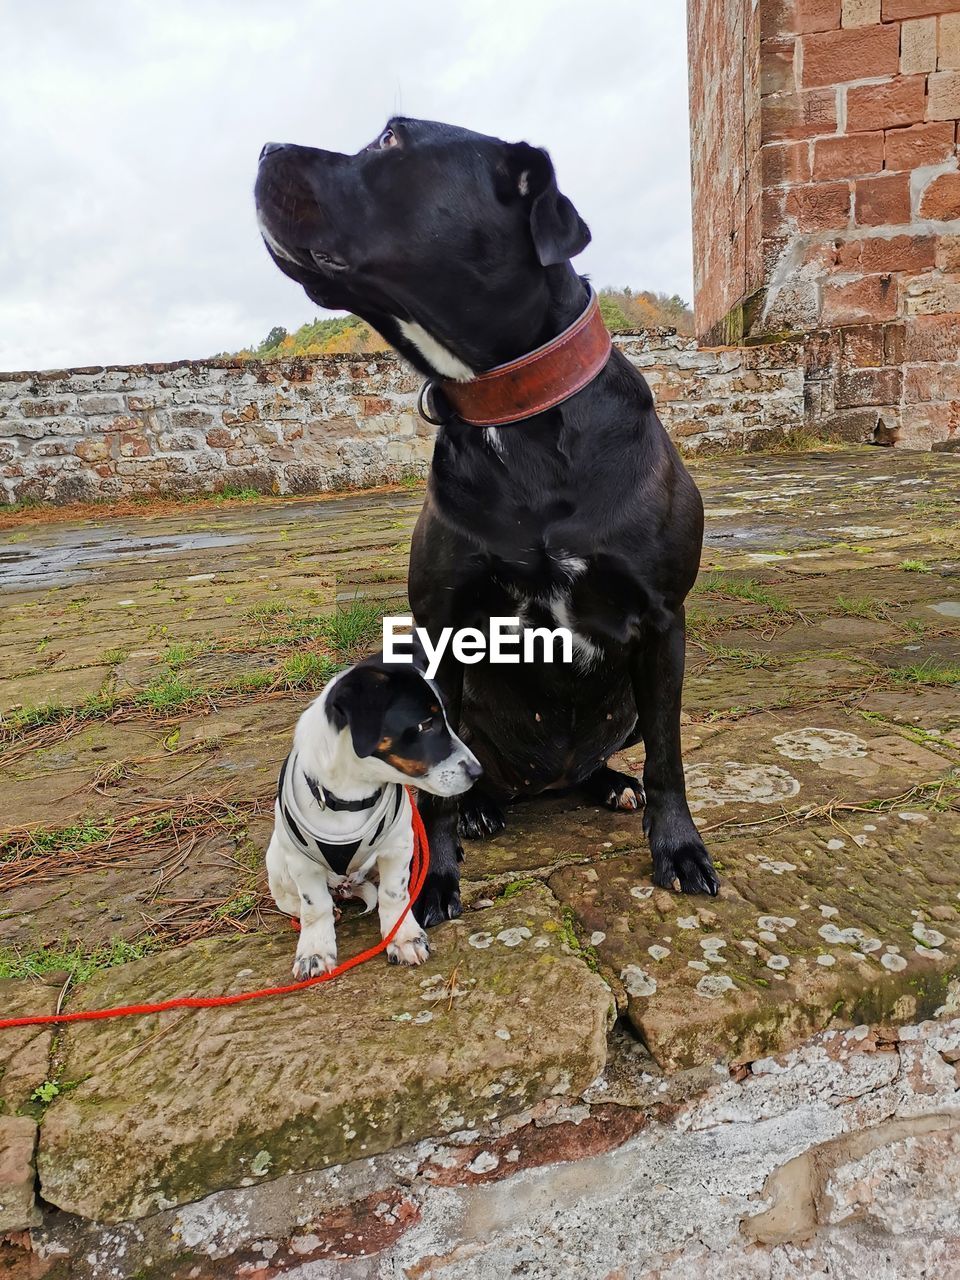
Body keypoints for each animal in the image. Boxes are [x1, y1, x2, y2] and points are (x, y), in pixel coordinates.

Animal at [256, 115, 721, 926]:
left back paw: (609, 783)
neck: (515, 411)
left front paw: (678, 849)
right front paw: (435, 879)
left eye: (391, 140)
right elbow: (430, 788)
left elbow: (669, 756)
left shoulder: (664, 623)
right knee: (469, 783)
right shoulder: (441, 623)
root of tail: (542, 780)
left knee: (608, 759)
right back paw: (483, 808)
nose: (262, 149)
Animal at [267, 655, 481, 972]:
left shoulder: (398, 847)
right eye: (425, 724)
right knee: (293, 901)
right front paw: (314, 951)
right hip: (278, 863)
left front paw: (403, 937)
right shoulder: (303, 864)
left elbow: (394, 895)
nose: (479, 772)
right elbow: (314, 907)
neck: (351, 798)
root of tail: (344, 885)